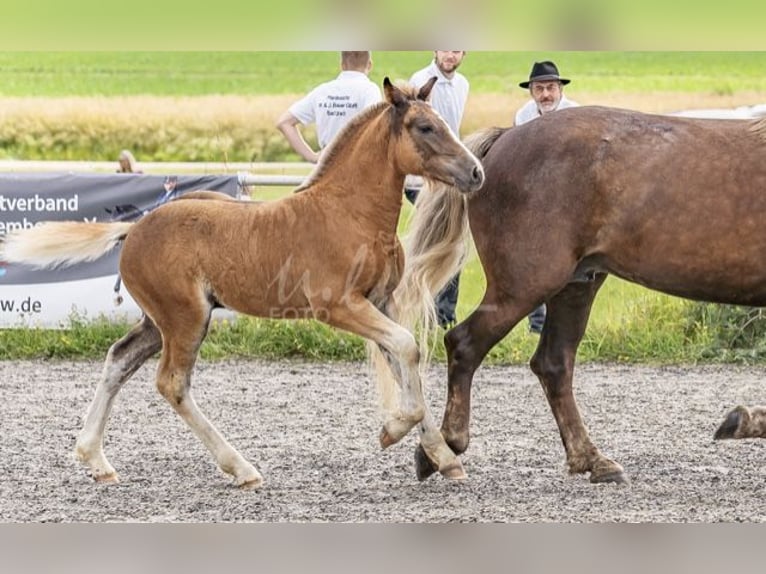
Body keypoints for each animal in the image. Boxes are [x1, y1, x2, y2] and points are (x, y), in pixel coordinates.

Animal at [0, 77, 486, 490]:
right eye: (425, 126)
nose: (476, 172)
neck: (349, 214)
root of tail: (134, 227)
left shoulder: (381, 303)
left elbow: (407, 361)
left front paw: (443, 457)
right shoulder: (339, 306)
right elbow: (406, 348)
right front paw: (391, 432)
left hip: (158, 322)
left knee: (119, 359)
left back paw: (96, 460)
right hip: (185, 319)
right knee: (172, 383)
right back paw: (241, 468)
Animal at [392, 104, 766, 486]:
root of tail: (500, 143)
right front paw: (743, 422)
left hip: (576, 285)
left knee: (552, 363)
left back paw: (590, 459)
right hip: (525, 285)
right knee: (465, 343)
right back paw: (444, 449)